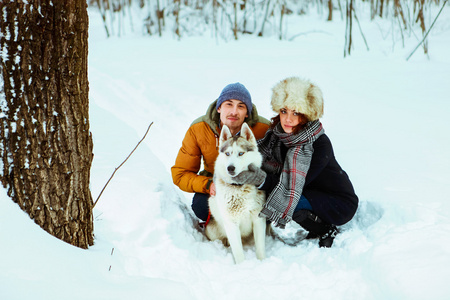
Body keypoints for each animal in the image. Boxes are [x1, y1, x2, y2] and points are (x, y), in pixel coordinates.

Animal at [205, 122, 266, 262]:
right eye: (227, 154)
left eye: (241, 153)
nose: (230, 168)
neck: (239, 188)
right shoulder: (231, 223)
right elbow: (238, 252)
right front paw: (242, 265)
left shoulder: (258, 219)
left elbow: (260, 248)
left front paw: (262, 262)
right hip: (212, 229)